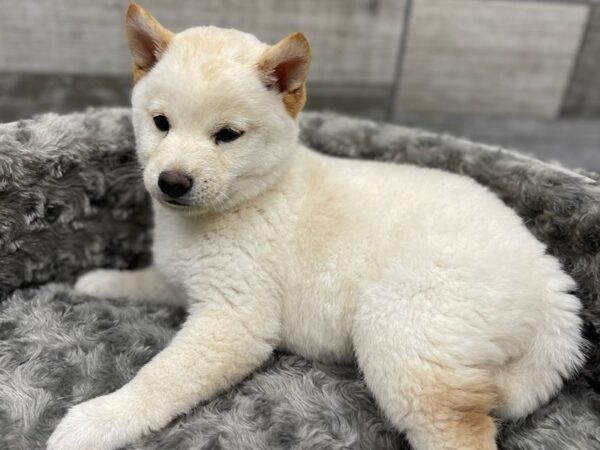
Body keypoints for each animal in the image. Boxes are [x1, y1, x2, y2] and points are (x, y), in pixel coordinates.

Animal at [49, 4, 584, 450]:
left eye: (227, 135)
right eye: (161, 123)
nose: (173, 181)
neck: (250, 198)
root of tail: (548, 278)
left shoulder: (234, 319)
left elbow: (162, 378)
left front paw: (100, 419)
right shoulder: (183, 277)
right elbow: (148, 279)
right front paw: (101, 280)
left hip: (406, 334)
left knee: (457, 426)